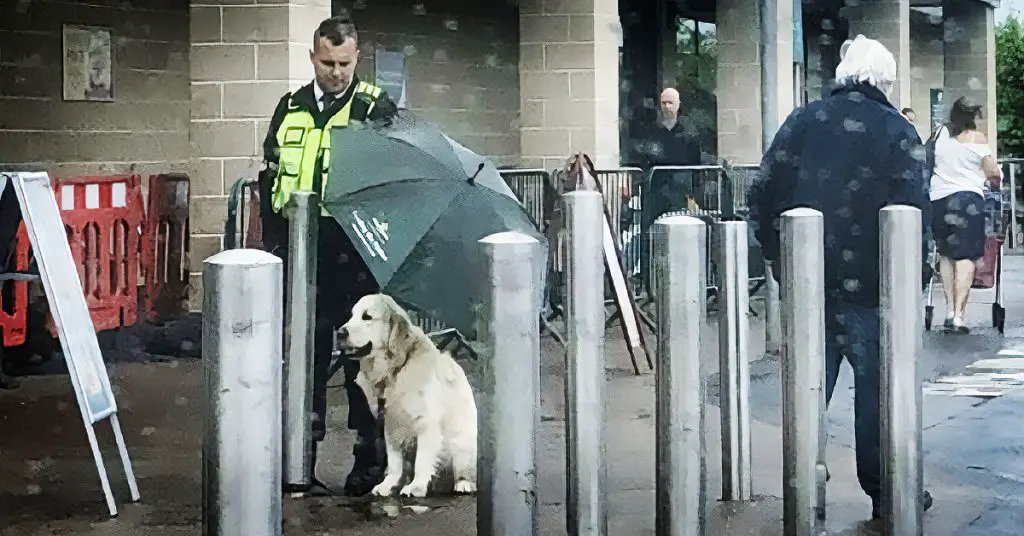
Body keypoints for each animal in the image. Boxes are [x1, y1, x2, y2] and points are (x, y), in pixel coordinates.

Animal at [337, 293, 477, 500]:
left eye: (367, 317)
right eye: (351, 315)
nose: (340, 333)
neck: (395, 370)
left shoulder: (426, 422)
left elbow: (422, 460)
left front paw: (416, 486)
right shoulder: (390, 422)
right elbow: (395, 461)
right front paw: (388, 484)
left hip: (462, 443)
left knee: (462, 469)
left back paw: (463, 483)